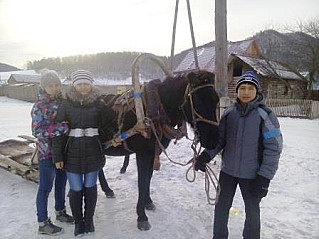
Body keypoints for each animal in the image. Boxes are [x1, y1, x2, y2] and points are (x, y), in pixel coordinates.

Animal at [102, 68, 220, 230]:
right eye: (198, 99)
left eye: (217, 99)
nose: (214, 140)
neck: (156, 110)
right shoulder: (143, 153)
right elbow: (142, 181)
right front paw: (142, 217)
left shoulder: (153, 152)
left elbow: (148, 178)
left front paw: (148, 203)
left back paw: (108, 190)